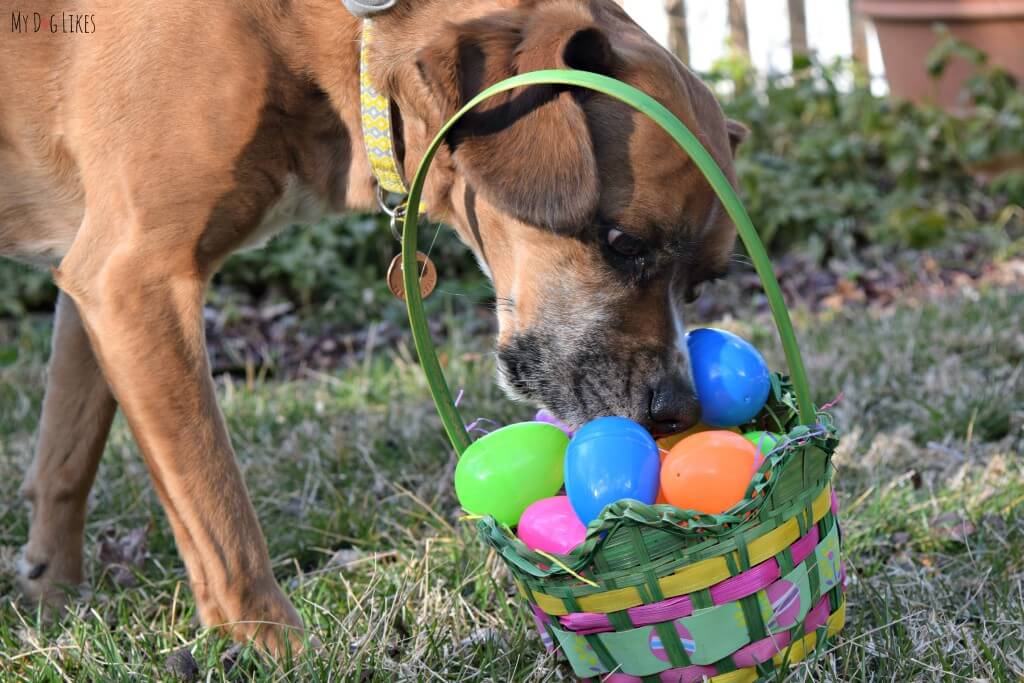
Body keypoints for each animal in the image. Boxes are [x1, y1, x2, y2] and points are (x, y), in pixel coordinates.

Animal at [2, 0, 745, 651]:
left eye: (701, 284)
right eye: (623, 242)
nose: (678, 411)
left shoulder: (95, 290)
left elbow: (67, 457)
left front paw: (52, 595)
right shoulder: (136, 279)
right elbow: (219, 517)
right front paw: (275, 648)